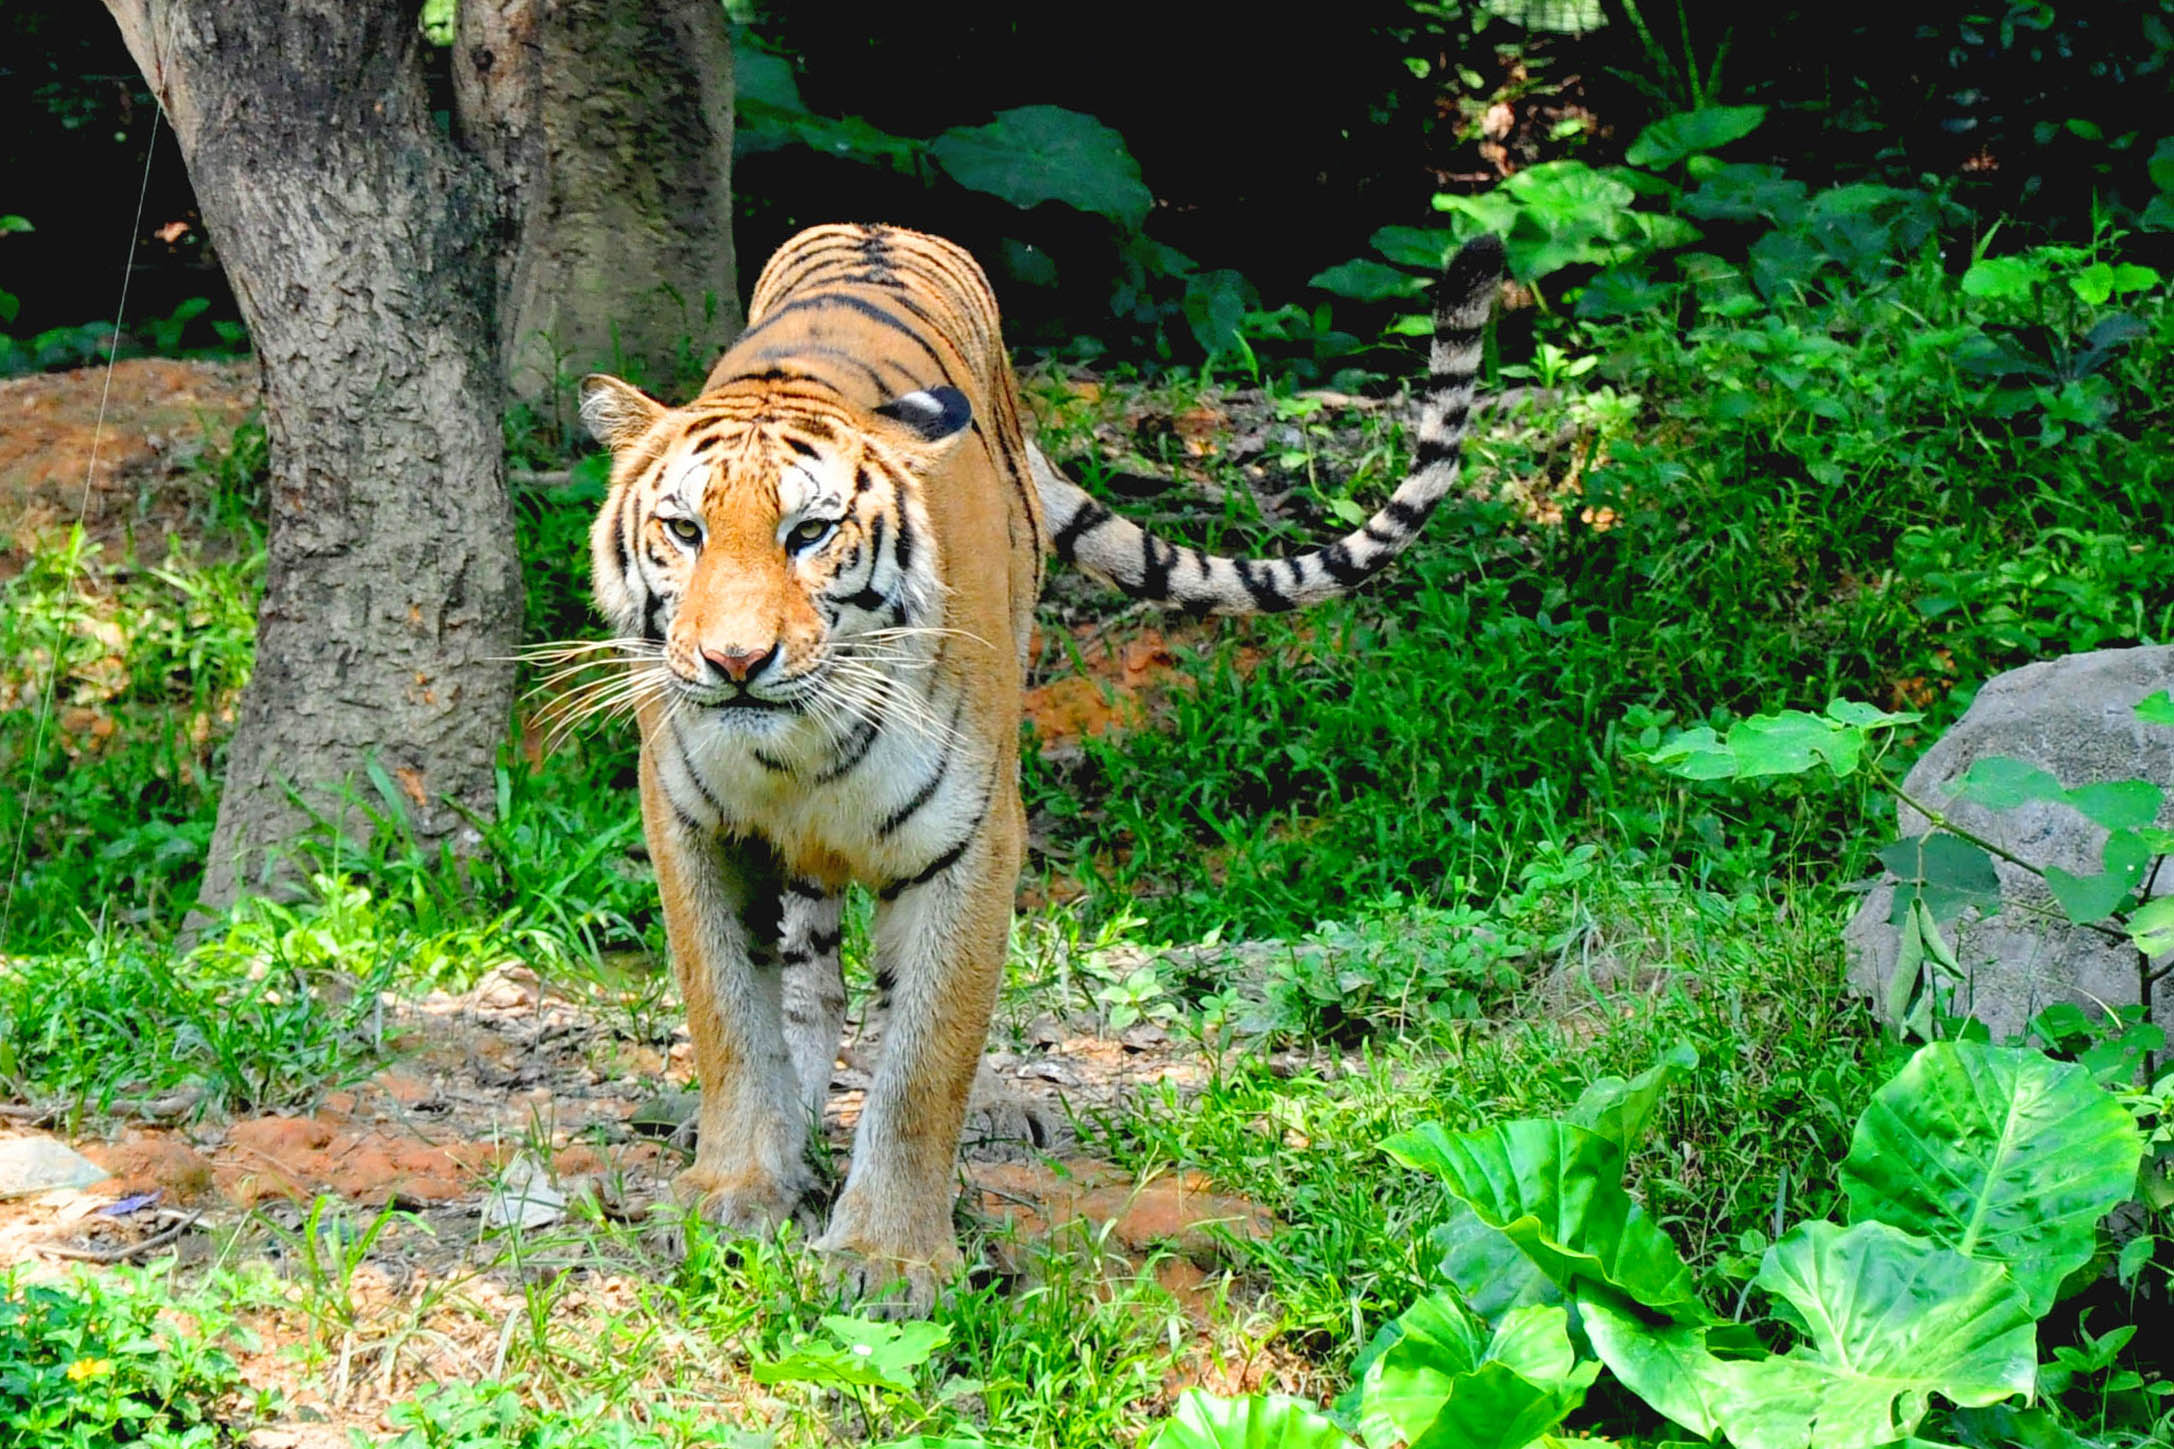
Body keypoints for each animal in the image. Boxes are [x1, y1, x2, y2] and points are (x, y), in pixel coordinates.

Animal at [569, 218, 1504, 1312]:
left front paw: (889, 1259)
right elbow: (725, 1013)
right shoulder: (692, 824)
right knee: (808, 980)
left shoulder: (969, 838)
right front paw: (736, 1195)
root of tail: (880, 225)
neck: (797, 752)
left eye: (810, 533)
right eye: (685, 530)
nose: (733, 661)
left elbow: (926, 1053)